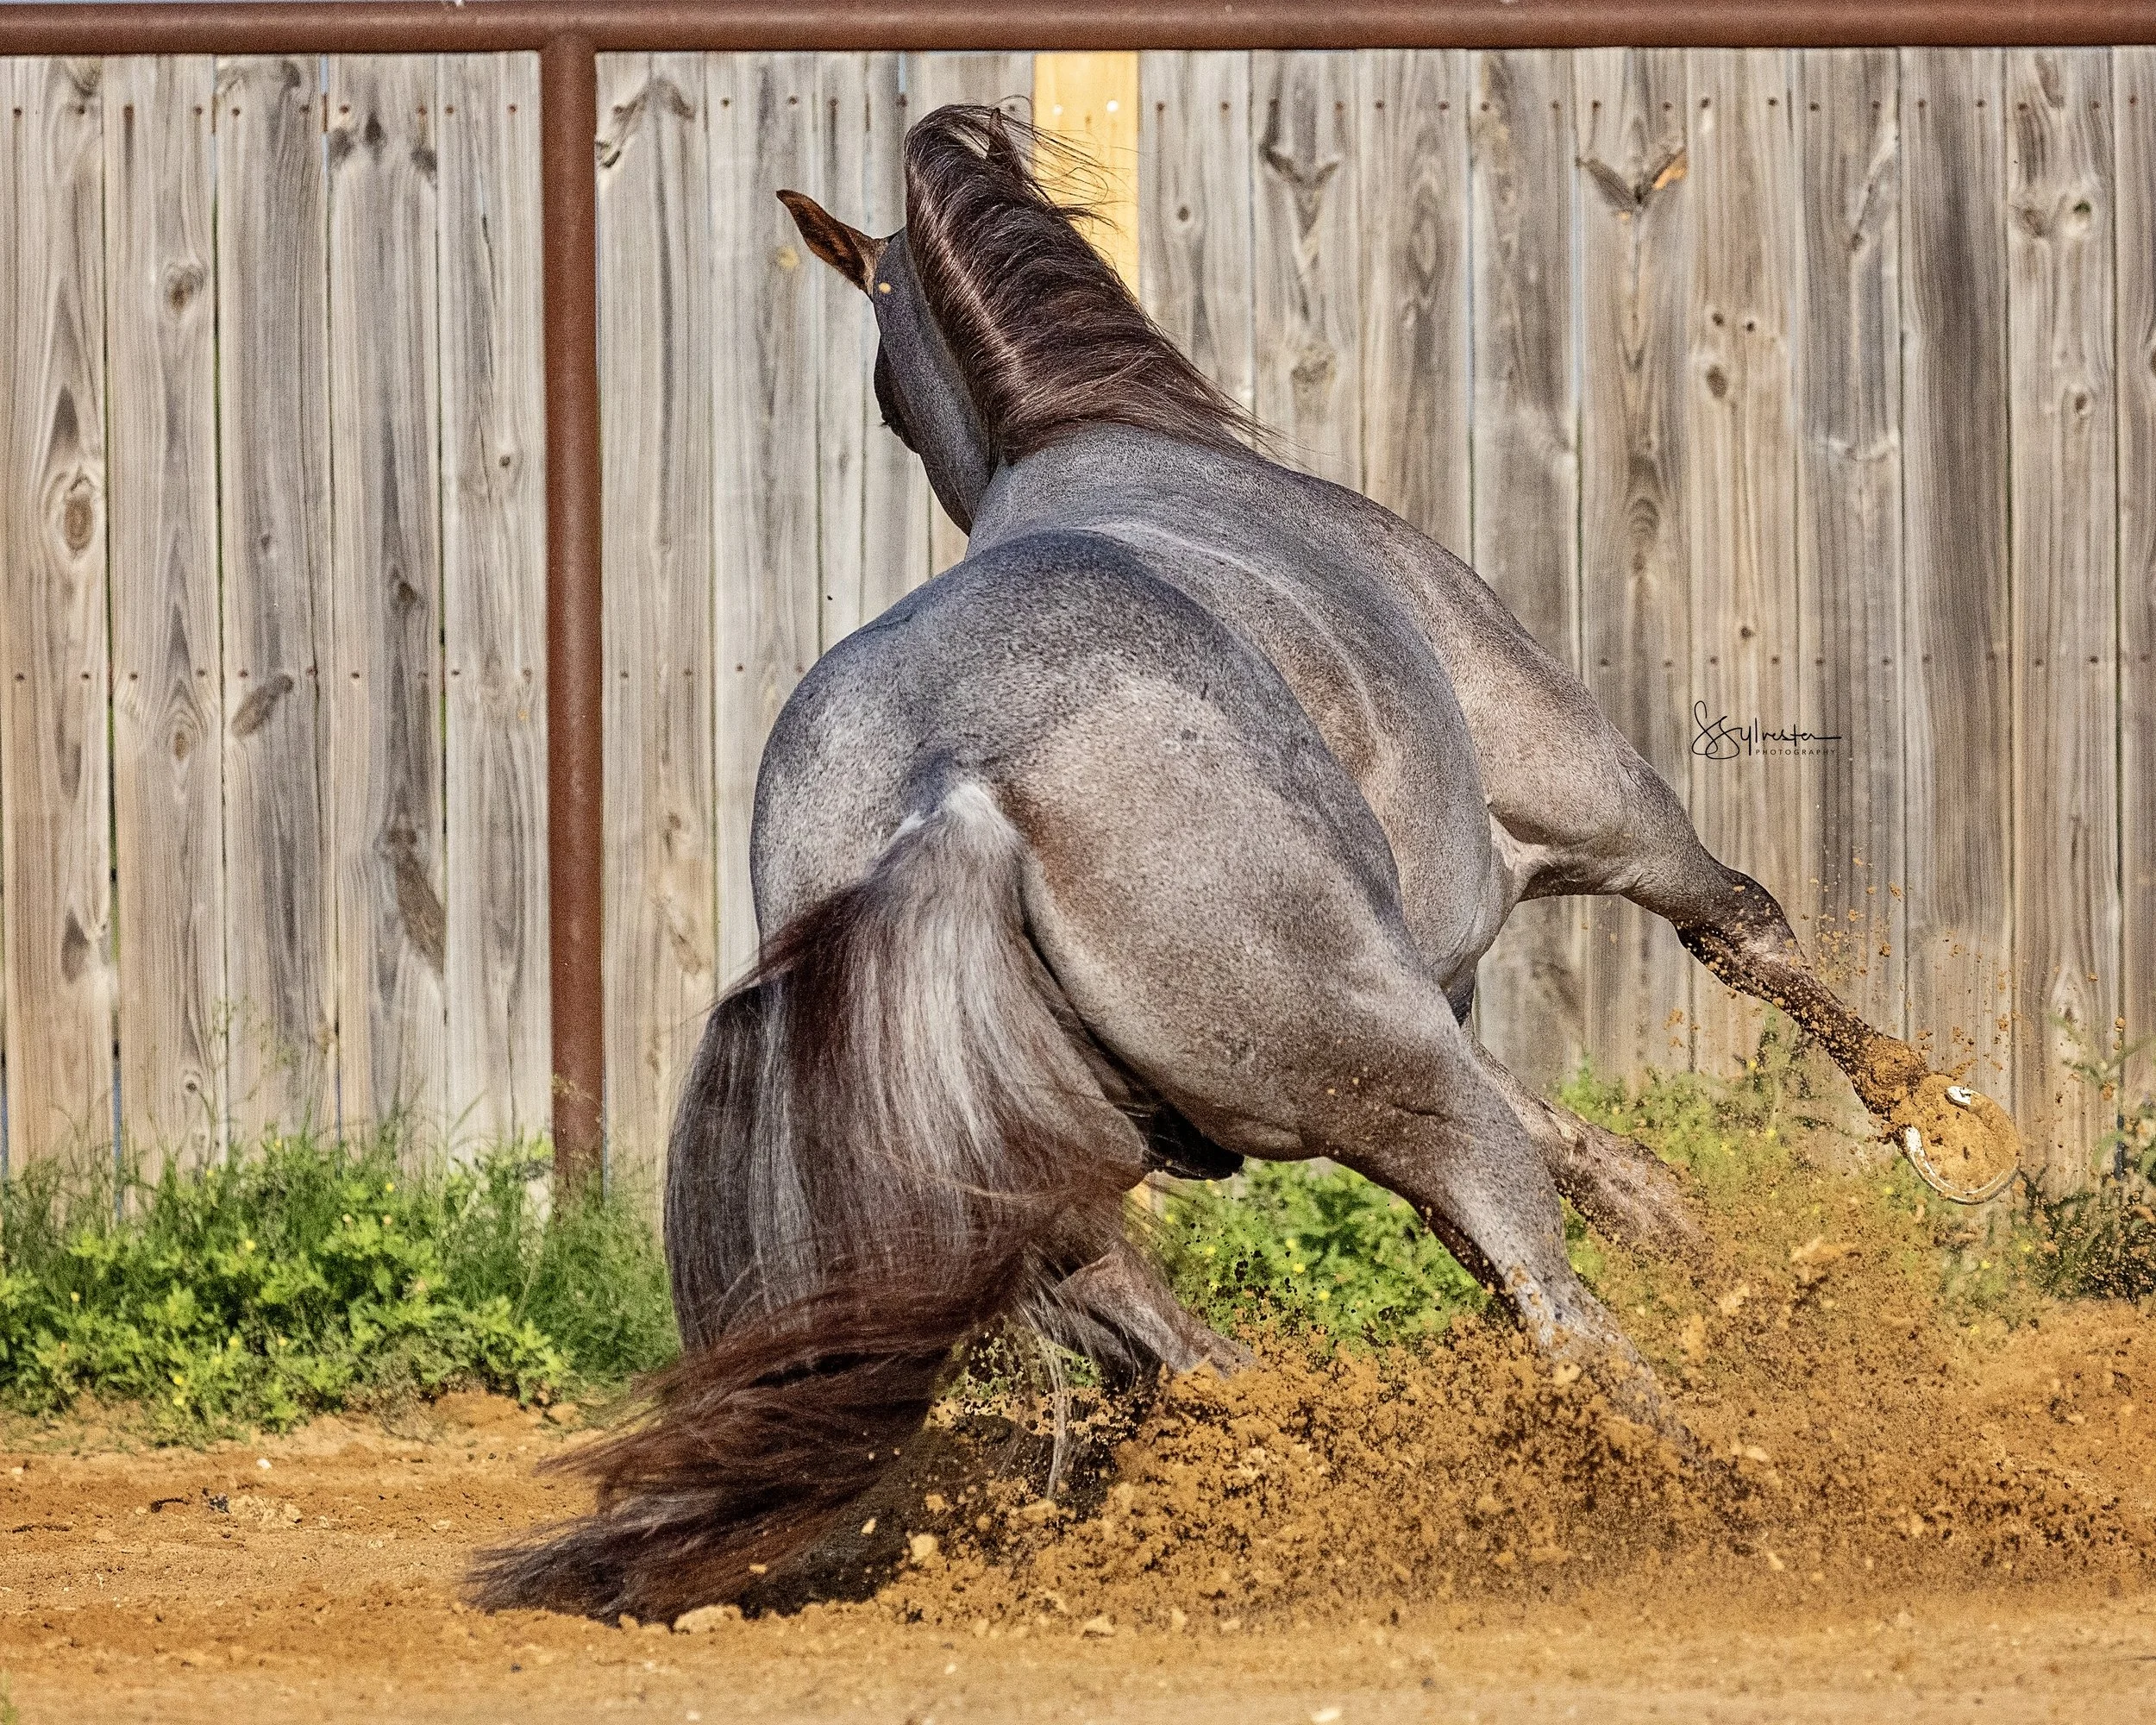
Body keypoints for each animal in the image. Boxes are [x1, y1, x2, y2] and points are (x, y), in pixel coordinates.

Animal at [474, 105, 2018, 1622]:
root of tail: (952, 784)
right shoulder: (1591, 817)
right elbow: (1744, 939)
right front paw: (1950, 1139)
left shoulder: (1425, 1000)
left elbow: (1602, 1160)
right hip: (1405, 1081)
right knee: (1561, 1320)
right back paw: (1740, 1503)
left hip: (1131, 1174)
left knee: (1214, 1358)